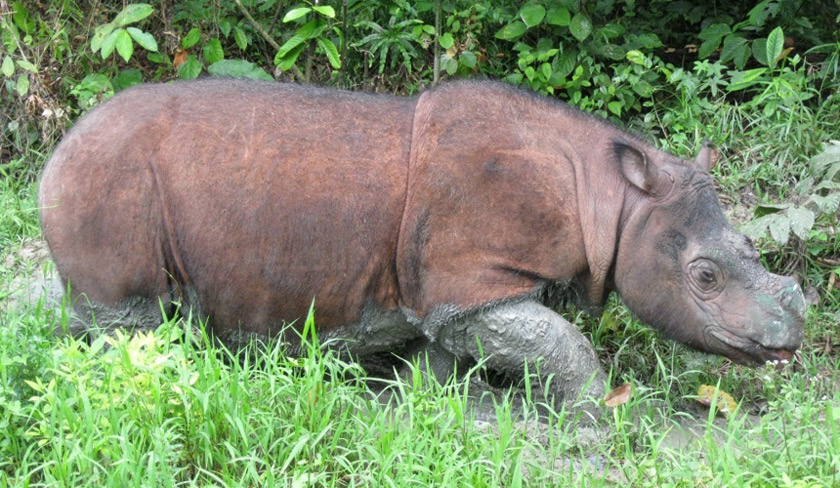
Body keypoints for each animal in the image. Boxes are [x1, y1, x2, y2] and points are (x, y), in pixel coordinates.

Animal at [39, 80, 805, 408]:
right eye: (704, 277)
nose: (789, 340)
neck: (609, 197)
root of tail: (55, 153)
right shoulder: (477, 280)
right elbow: (565, 344)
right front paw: (597, 419)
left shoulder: (456, 290)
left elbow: (447, 352)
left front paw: (433, 406)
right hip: (108, 180)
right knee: (132, 318)